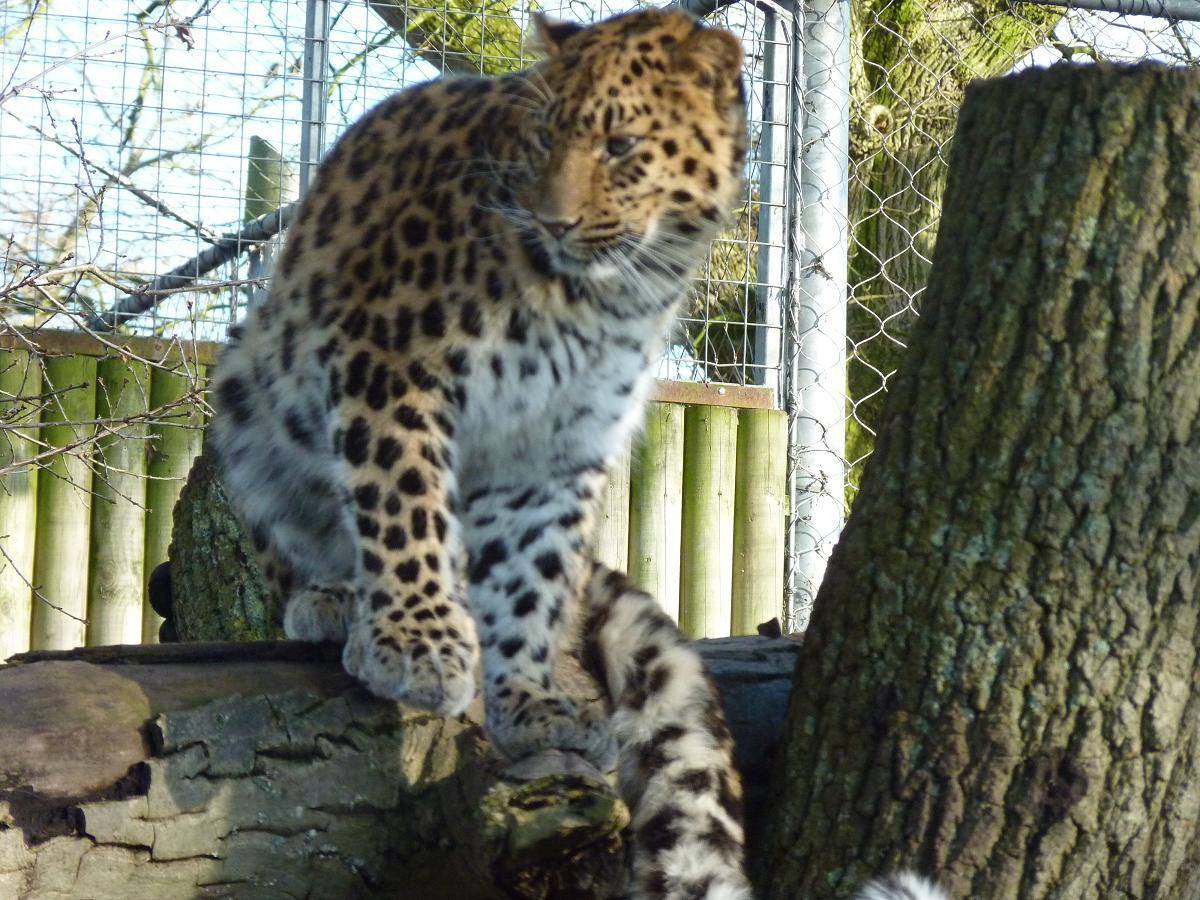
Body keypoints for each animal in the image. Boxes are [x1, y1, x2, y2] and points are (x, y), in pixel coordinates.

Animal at [209, 8, 944, 900]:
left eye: (622, 146)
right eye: (542, 139)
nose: (553, 220)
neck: (602, 295)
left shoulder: (555, 446)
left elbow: (527, 579)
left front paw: (527, 697)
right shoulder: (391, 362)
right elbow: (404, 505)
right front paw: (419, 643)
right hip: (248, 389)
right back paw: (335, 596)